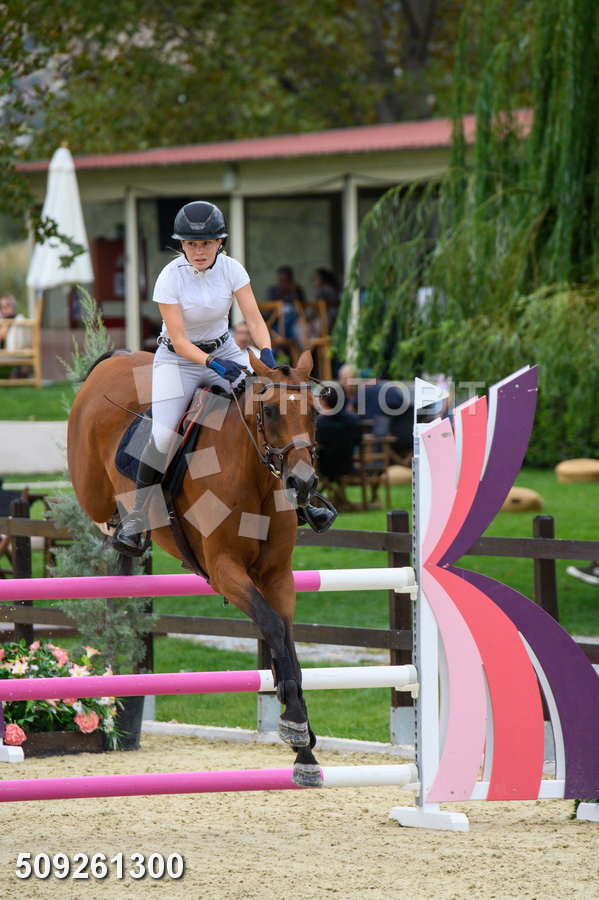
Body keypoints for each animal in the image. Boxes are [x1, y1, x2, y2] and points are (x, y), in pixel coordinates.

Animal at [67, 348, 323, 786]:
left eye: (315, 414)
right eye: (271, 411)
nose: (302, 484)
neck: (253, 476)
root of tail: (115, 359)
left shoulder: (277, 576)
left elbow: (286, 643)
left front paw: (303, 745)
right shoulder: (224, 571)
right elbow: (272, 627)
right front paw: (295, 726)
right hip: (91, 488)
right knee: (100, 511)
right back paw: (125, 530)